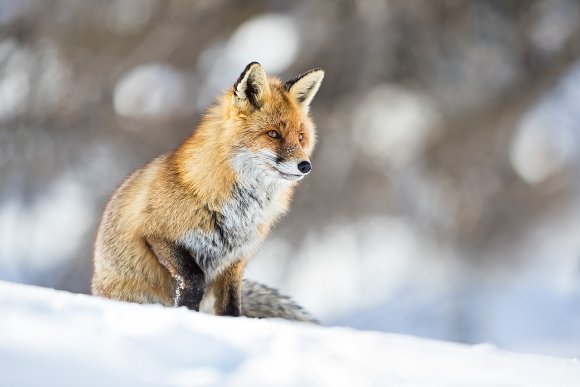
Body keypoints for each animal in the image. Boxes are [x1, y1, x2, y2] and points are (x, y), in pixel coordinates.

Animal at [93, 62, 324, 320]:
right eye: (273, 134)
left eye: (301, 137)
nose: (305, 166)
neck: (240, 212)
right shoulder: (155, 233)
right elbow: (195, 279)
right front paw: (185, 311)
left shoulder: (234, 261)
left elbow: (232, 306)